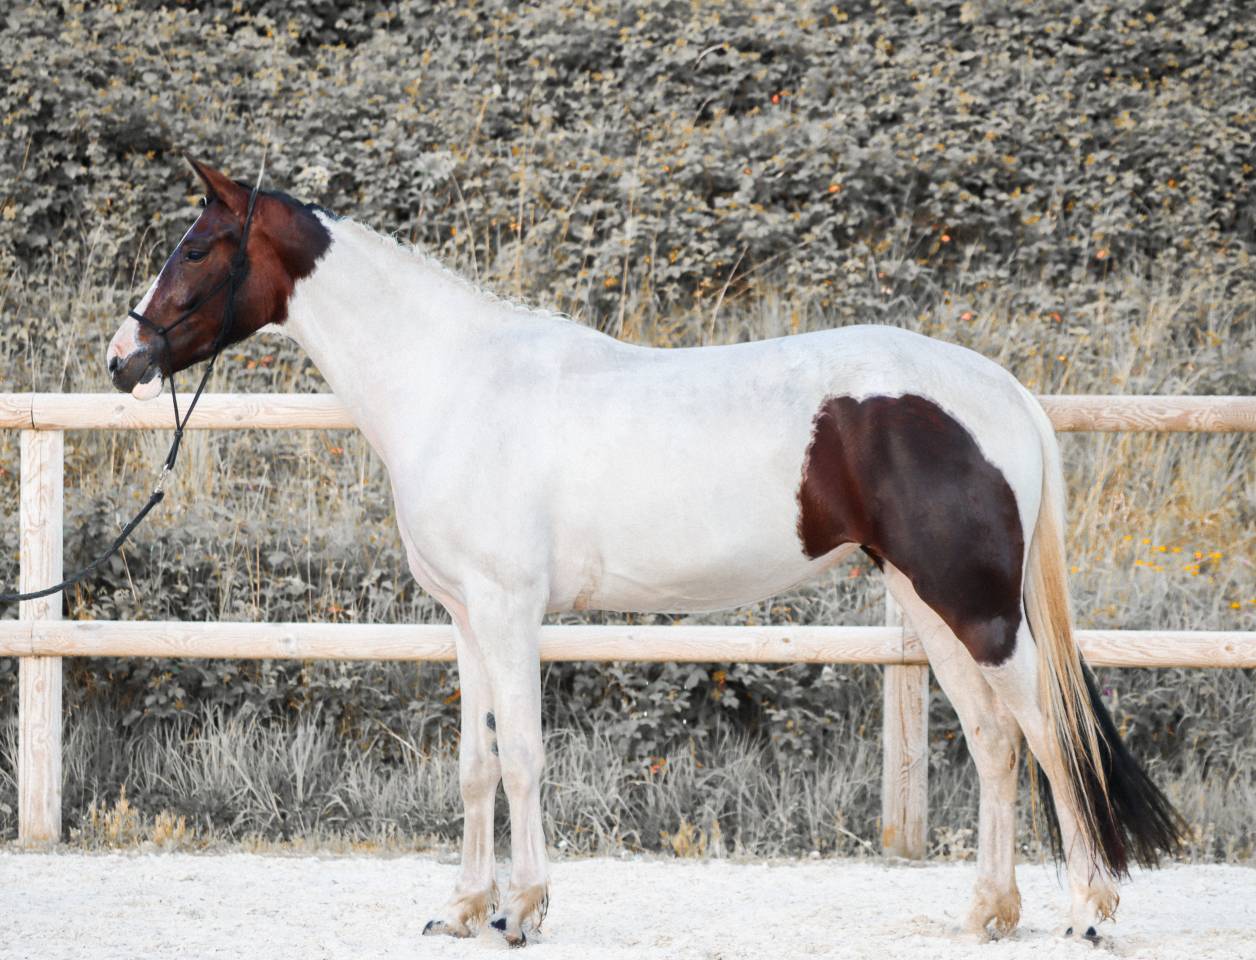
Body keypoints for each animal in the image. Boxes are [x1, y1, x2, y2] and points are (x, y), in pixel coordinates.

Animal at [108, 158, 1185, 947]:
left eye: (196, 246)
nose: (123, 359)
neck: (453, 382)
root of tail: (1002, 392)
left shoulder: (509, 611)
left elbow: (524, 756)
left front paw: (521, 911)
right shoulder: (464, 617)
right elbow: (474, 764)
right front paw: (459, 910)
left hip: (976, 608)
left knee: (1048, 733)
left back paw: (1087, 913)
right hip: (929, 606)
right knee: (996, 739)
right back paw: (987, 914)